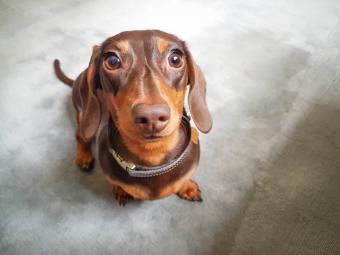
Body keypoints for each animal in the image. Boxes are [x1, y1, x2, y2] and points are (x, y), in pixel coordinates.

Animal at [53, 29, 211, 205]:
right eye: (112, 61)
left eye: (175, 59)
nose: (151, 116)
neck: (153, 161)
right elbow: (116, 183)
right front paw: (121, 190)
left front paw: (187, 187)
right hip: (84, 117)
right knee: (81, 136)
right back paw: (84, 156)